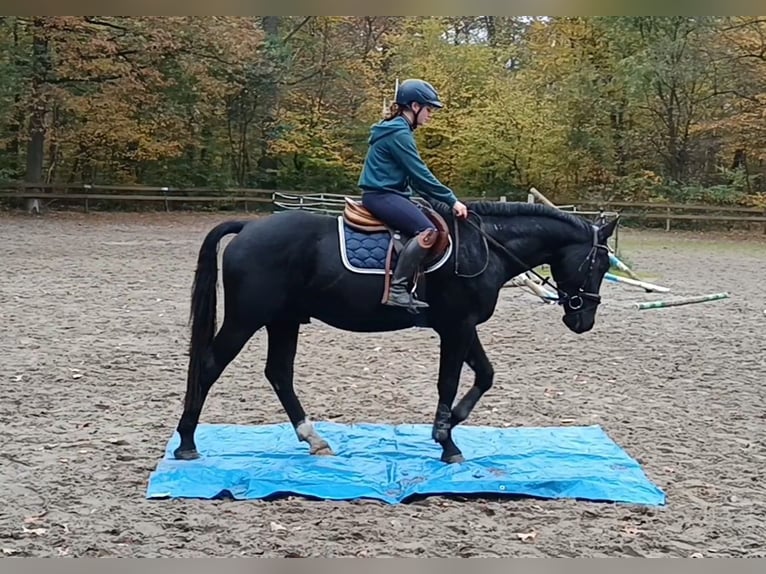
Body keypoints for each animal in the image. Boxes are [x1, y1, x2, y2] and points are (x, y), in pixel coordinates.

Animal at [172, 198, 616, 464]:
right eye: (599, 264)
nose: (584, 320)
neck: (484, 247)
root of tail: (249, 227)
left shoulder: (463, 327)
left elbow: (485, 375)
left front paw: (449, 425)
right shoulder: (456, 328)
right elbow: (448, 382)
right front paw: (447, 441)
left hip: (283, 321)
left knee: (279, 373)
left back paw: (313, 439)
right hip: (246, 319)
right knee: (210, 366)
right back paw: (187, 443)